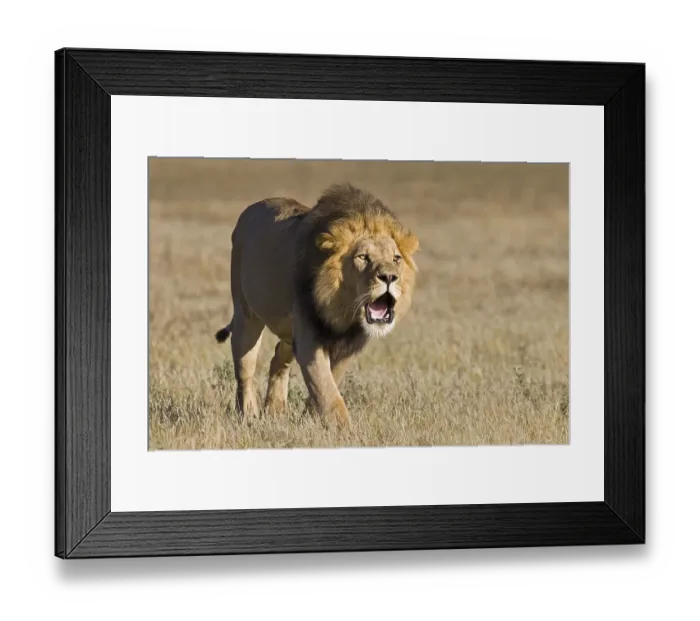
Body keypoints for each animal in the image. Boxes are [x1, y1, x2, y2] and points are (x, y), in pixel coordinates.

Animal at [214, 183, 419, 427]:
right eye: (363, 257)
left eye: (396, 258)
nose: (389, 277)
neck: (344, 312)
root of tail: (250, 210)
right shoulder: (309, 339)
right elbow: (327, 391)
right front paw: (344, 430)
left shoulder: (347, 346)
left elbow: (327, 386)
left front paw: (311, 421)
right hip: (246, 316)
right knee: (245, 369)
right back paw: (248, 415)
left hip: (289, 332)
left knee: (278, 359)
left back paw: (275, 410)